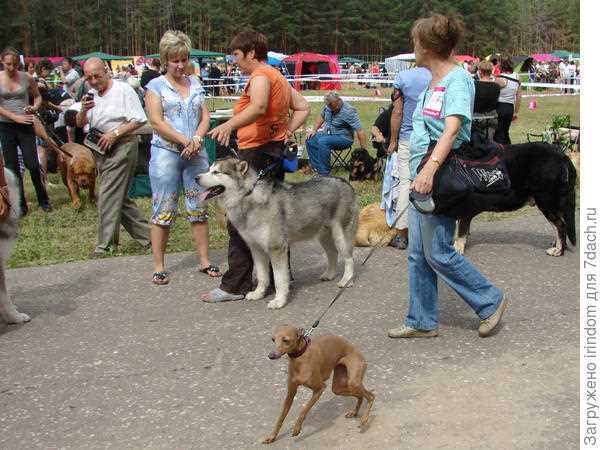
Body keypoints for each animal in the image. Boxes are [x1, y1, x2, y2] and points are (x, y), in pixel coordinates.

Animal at [196, 158, 356, 310]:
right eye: (209, 169)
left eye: (216, 172)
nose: (196, 177)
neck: (247, 196)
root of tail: (344, 182)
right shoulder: (256, 249)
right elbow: (262, 276)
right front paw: (259, 293)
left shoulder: (276, 249)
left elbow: (280, 279)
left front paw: (279, 301)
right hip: (323, 235)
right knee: (333, 253)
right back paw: (329, 274)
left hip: (341, 234)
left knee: (349, 258)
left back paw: (346, 280)